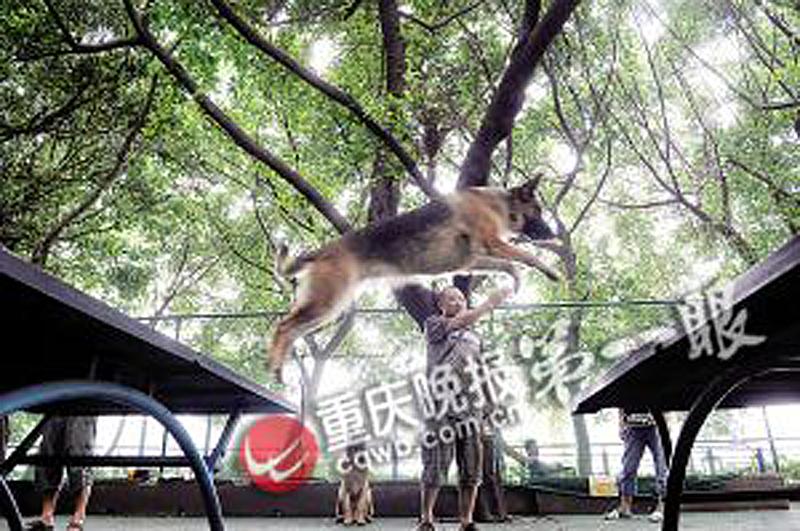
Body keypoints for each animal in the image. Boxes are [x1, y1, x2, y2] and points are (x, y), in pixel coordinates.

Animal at [268, 175, 559, 381]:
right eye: (538, 211)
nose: (554, 235)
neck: (499, 204)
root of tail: (320, 252)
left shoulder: (473, 260)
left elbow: (511, 266)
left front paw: (516, 281)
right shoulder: (492, 244)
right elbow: (526, 256)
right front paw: (550, 271)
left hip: (327, 308)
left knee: (292, 329)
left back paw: (278, 366)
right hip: (326, 302)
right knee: (283, 326)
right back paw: (275, 365)